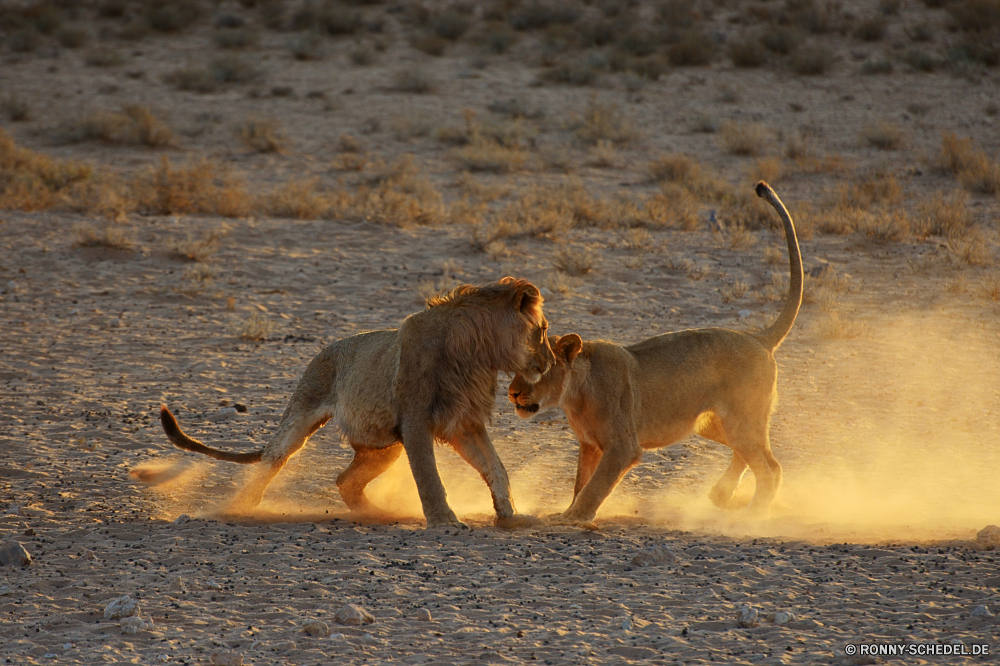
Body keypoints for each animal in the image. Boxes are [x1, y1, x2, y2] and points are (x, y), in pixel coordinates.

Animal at [160, 274, 560, 524]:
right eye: (542, 331)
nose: (551, 363)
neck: (475, 353)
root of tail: (329, 347)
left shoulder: (464, 423)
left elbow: (496, 468)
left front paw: (511, 516)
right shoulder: (416, 420)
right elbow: (429, 476)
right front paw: (444, 520)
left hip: (383, 446)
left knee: (345, 481)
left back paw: (376, 513)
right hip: (303, 409)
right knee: (273, 459)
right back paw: (238, 508)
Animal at [512, 183, 800, 524]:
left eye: (538, 369)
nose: (512, 393)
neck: (575, 396)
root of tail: (758, 337)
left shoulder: (623, 447)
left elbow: (595, 486)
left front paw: (573, 517)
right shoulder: (589, 445)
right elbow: (581, 483)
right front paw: (569, 509)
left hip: (742, 419)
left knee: (770, 467)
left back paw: (751, 514)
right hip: (715, 423)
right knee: (750, 456)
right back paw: (722, 495)